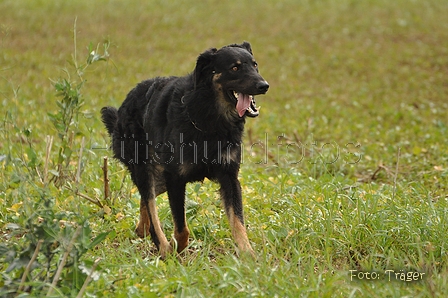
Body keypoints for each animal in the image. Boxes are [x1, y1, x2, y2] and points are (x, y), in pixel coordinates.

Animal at [100, 41, 270, 256]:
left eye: (255, 65)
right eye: (234, 68)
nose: (264, 86)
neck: (210, 120)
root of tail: (123, 107)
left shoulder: (229, 177)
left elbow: (238, 222)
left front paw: (248, 254)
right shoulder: (175, 178)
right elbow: (181, 228)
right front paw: (176, 248)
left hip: (159, 177)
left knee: (145, 200)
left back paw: (142, 229)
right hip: (145, 170)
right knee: (150, 203)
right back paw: (162, 245)